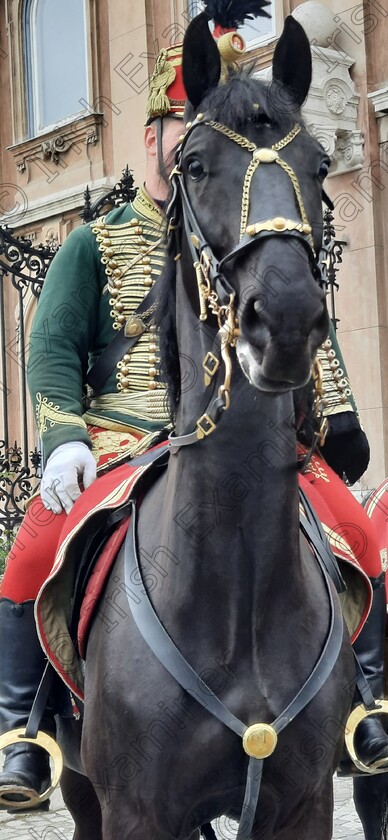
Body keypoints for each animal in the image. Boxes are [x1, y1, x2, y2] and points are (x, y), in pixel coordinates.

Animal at [56, 13, 356, 840]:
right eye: (193, 164)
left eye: (320, 165)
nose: (283, 319)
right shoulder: (135, 810)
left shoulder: (305, 804)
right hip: (82, 791)